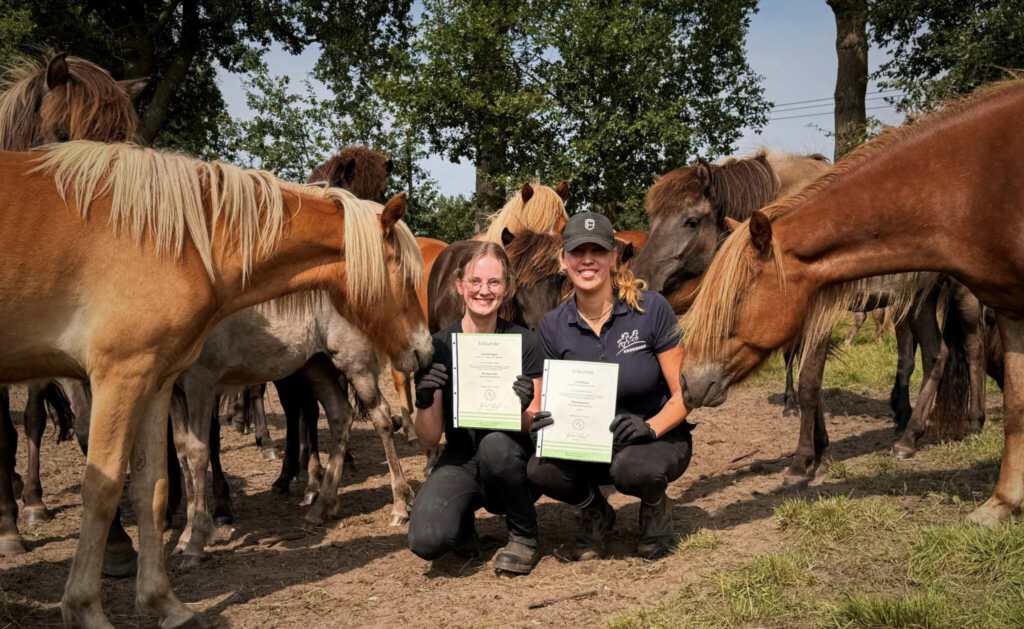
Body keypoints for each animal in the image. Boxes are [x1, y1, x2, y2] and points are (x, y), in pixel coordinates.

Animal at [0, 139, 423, 629]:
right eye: (405, 275)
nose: (421, 347)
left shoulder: (193, 383)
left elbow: (195, 455)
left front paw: (196, 538)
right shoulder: (166, 386)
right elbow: (174, 463)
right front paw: (187, 536)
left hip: (352, 363)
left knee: (379, 419)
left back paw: (398, 504)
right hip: (316, 367)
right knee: (338, 416)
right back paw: (322, 504)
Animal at [679, 79, 1024, 532]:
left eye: (734, 298)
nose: (686, 383)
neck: (970, 185)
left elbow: (810, 380)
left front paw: (805, 461)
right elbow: (1017, 405)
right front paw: (1002, 503)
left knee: (970, 348)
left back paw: (966, 422)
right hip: (920, 303)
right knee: (937, 355)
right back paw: (910, 435)